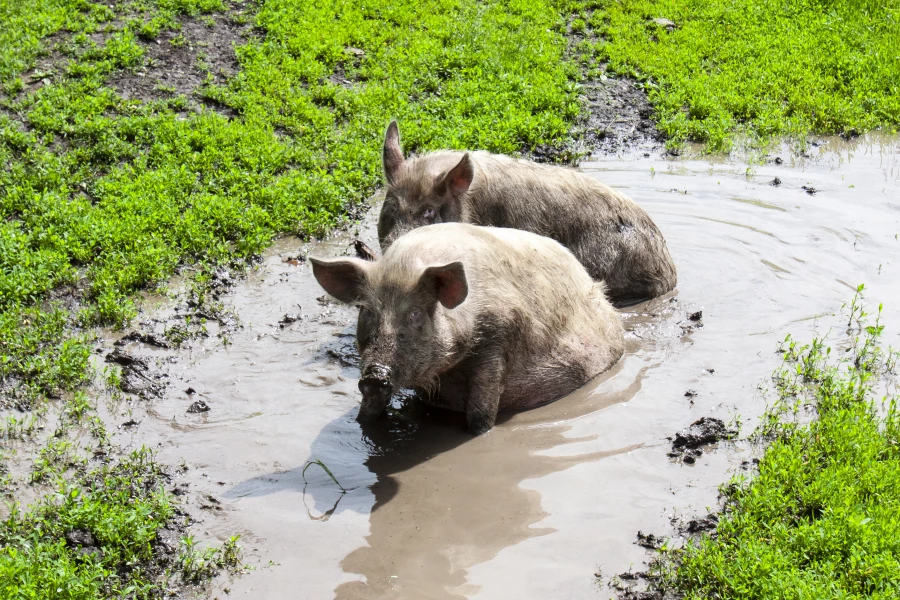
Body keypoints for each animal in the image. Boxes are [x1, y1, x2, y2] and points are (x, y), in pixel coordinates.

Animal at [308, 223, 620, 434]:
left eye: (414, 314)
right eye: (367, 311)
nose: (376, 373)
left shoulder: (499, 337)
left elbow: (481, 413)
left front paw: (479, 432)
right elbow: (369, 412)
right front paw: (363, 423)